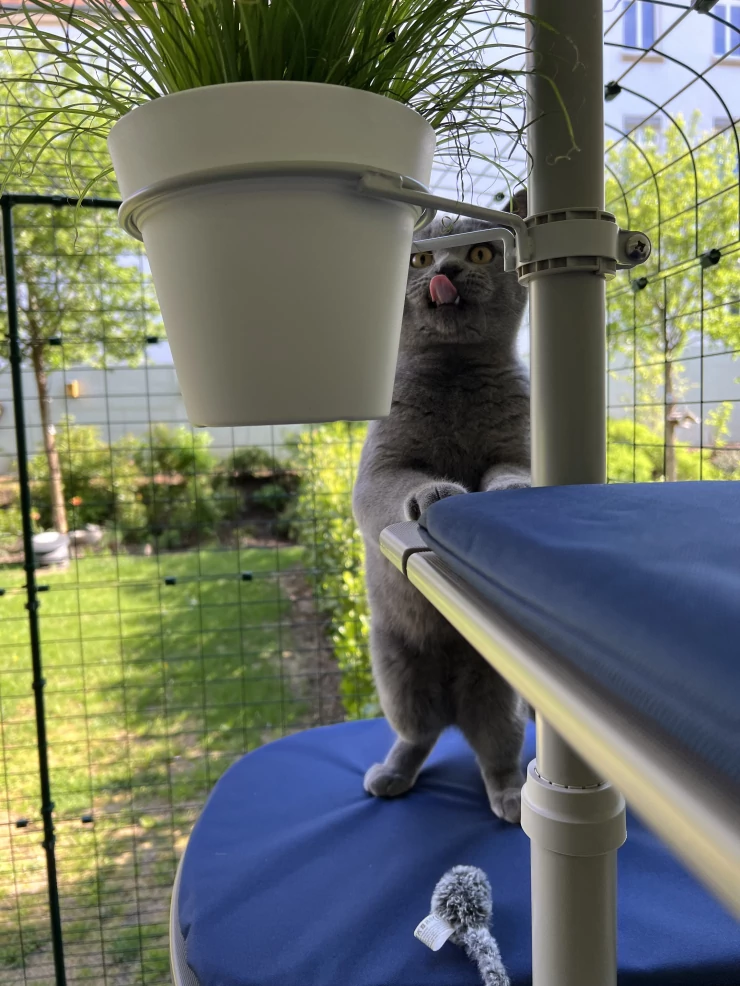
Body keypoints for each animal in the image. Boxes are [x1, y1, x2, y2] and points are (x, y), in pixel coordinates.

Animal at [352, 198, 530, 823]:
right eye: (420, 259)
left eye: (479, 252)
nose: (446, 271)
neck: (454, 374)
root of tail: (454, 698)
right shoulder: (381, 469)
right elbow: (402, 485)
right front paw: (437, 493)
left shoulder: (517, 446)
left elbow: (512, 471)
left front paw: (506, 493)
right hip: (396, 670)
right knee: (418, 733)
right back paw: (391, 773)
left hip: (498, 692)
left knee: (497, 749)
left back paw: (511, 798)